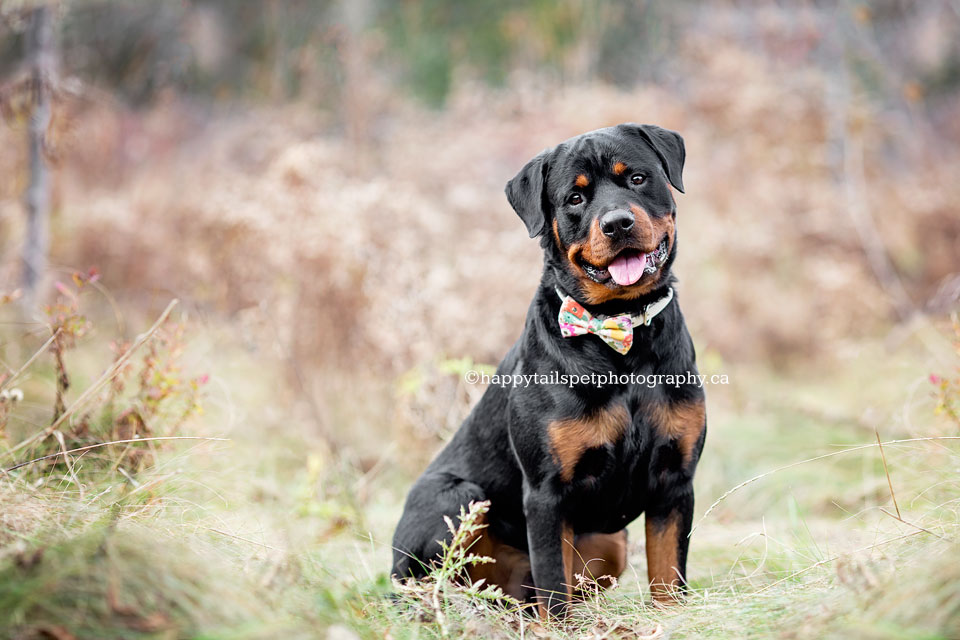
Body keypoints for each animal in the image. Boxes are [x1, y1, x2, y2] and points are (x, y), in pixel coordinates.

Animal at [390, 122, 704, 616]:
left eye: (637, 178)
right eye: (574, 198)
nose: (617, 222)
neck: (621, 337)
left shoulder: (675, 480)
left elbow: (668, 574)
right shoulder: (546, 490)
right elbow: (554, 584)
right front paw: (559, 626)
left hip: (611, 544)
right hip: (456, 499)